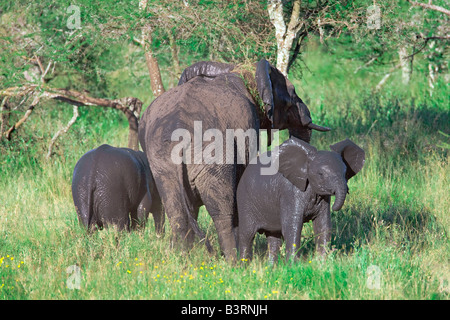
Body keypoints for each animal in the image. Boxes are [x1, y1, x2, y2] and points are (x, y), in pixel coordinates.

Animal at [139, 59, 328, 260]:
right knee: (221, 210)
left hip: (161, 162)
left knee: (177, 210)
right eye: (292, 95)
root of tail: (178, 131)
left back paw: (181, 257)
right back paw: (233, 259)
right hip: (213, 154)